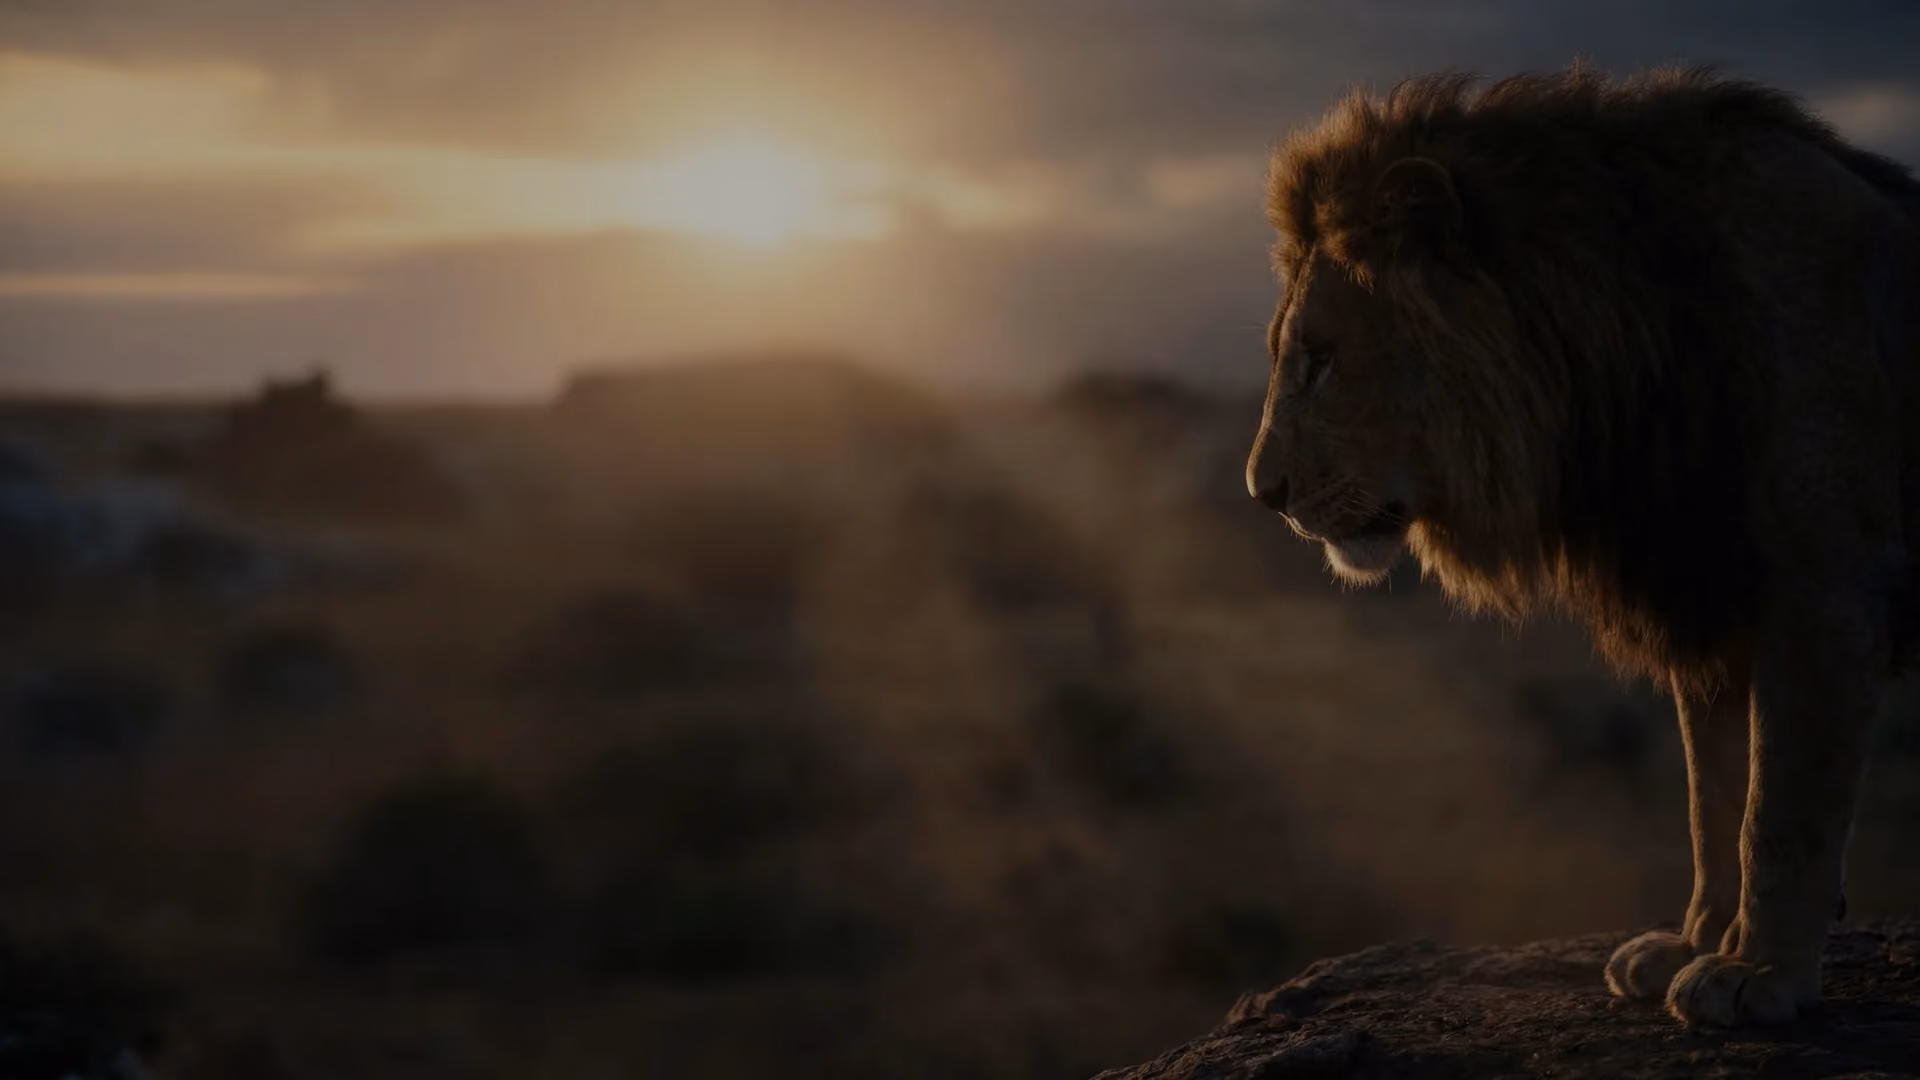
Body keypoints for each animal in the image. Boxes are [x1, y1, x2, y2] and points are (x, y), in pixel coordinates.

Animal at [1246, 65, 1920, 1027]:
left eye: (1319, 357)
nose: (1262, 493)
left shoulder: (1825, 587)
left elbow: (1779, 809)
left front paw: (1757, 972)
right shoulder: (1705, 590)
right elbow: (1713, 798)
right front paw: (1695, 942)